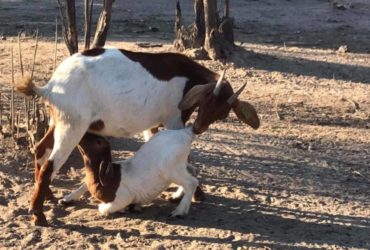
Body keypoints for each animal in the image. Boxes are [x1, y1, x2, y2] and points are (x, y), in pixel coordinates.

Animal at [15, 47, 258, 227]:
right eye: (206, 101)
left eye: (222, 113)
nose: (198, 128)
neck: (188, 76)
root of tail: (50, 87)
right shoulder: (174, 118)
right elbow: (185, 155)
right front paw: (193, 194)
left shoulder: (153, 125)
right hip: (72, 125)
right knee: (50, 164)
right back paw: (38, 215)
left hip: (56, 120)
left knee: (40, 150)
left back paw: (49, 196)